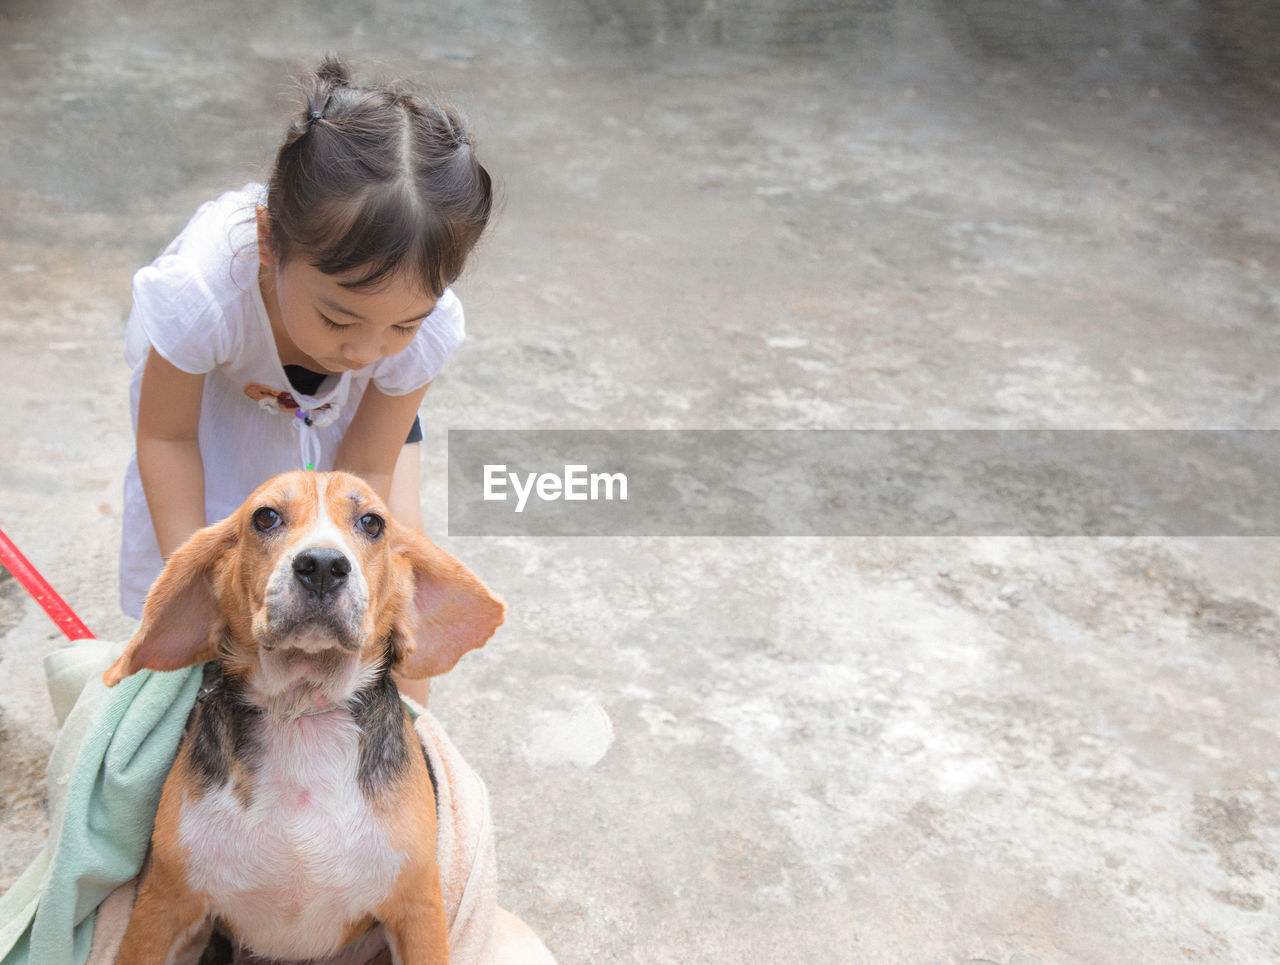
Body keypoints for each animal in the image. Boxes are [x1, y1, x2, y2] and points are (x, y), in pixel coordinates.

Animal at [101, 470, 504, 957]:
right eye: (265, 517)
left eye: (372, 523)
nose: (324, 566)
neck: (301, 712)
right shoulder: (164, 904)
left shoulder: (418, 911)